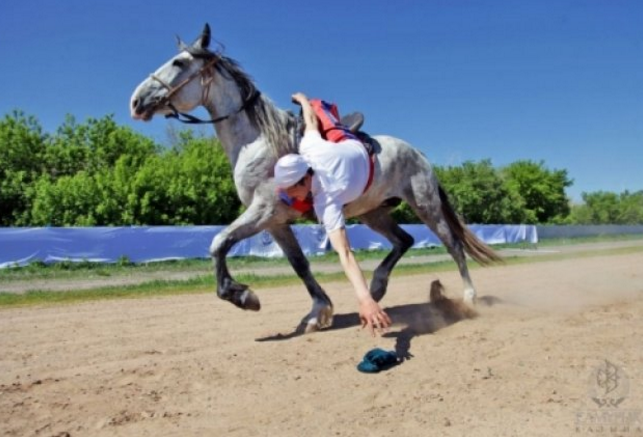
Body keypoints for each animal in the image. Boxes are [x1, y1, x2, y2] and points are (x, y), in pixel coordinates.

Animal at [131, 23, 504, 330]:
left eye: (179, 63)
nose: (136, 101)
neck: (261, 141)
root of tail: (419, 154)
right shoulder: (275, 222)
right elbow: (300, 265)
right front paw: (317, 311)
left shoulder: (263, 210)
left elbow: (218, 242)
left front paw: (243, 296)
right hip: (373, 213)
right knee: (404, 240)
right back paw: (376, 287)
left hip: (425, 205)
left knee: (453, 245)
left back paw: (468, 299)